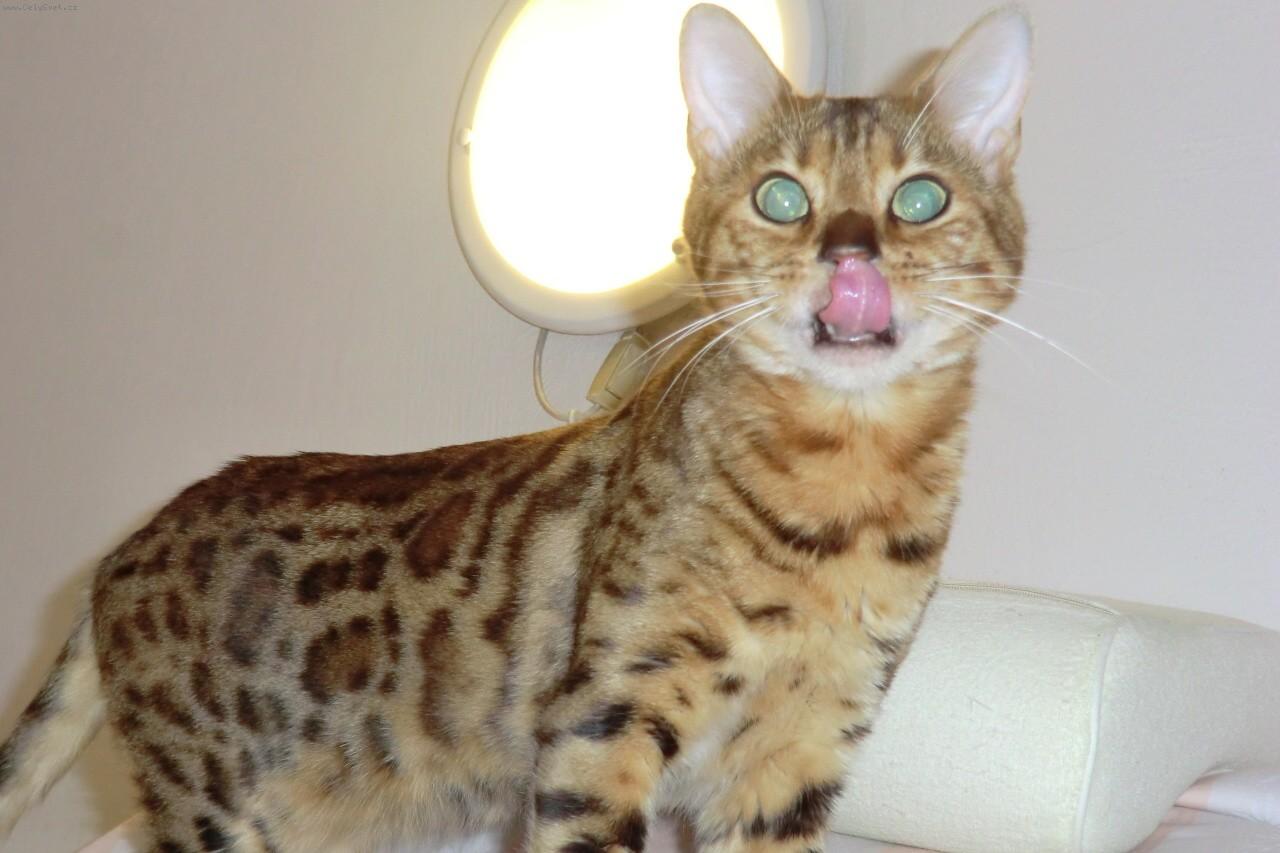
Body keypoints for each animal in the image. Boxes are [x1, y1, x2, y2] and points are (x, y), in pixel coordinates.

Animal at [0, 4, 1031, 852]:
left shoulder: (801, 750)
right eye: (782, 197)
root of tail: (117, 553)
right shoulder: (602, 720)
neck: (840, 507)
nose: (851, 255)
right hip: (217, 807)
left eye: (920, 198)